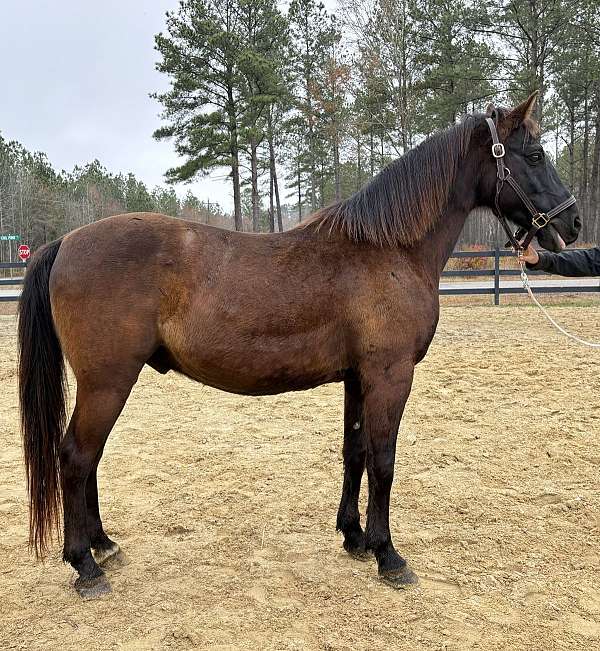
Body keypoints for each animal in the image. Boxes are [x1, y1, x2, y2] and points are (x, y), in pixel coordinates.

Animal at [18, 94, 580, 600]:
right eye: (534, 154)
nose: (572, 224)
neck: (388, 250)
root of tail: (66, 242)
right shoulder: (390, 375)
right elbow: (383, 460)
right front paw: (389, 556)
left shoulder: (358, 377)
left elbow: (355, 452)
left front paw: (355, 537)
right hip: (107, 381)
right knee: (77, 456)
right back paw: (86, 566)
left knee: (90, 458)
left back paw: (104, 544)